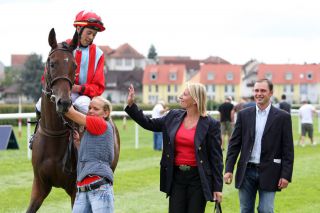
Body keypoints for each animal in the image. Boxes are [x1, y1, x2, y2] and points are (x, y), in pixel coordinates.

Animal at [26, 28, 120, 213]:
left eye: (74, 66)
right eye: (52, 63)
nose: (63, 102)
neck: (54, 134)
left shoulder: (75, 190)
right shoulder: (39, 185)